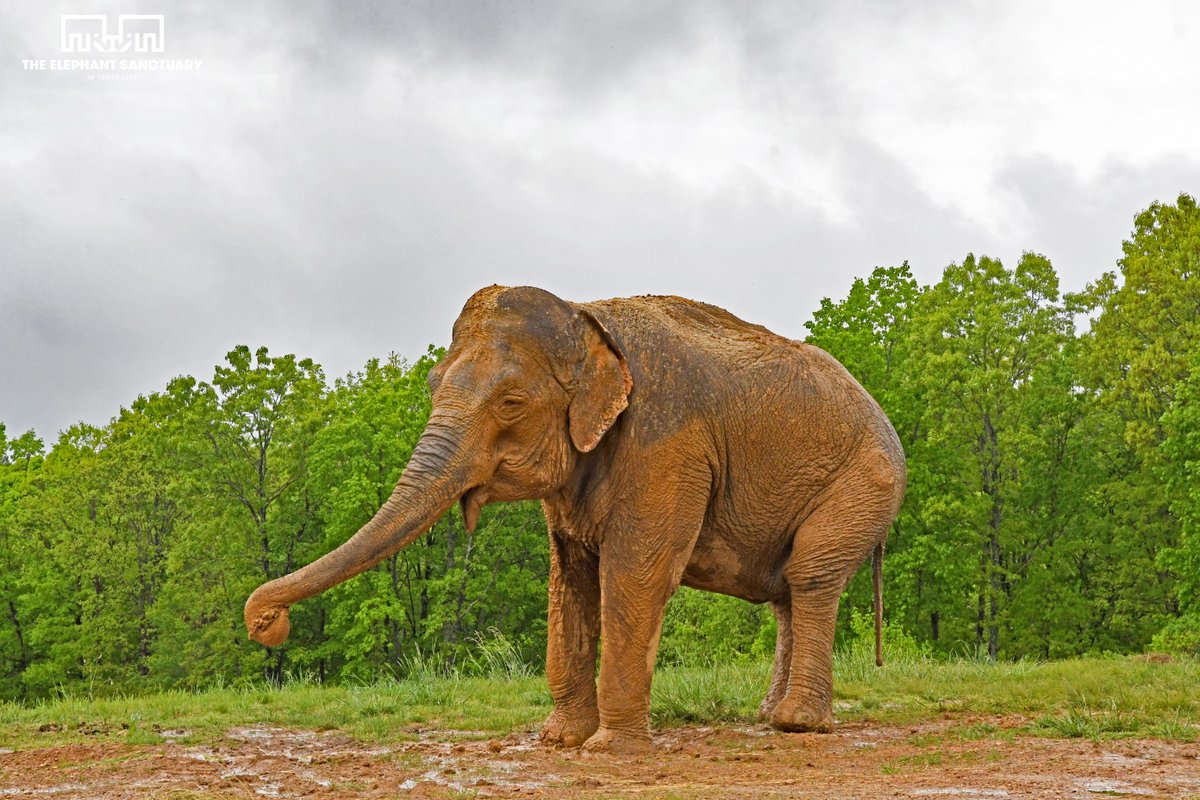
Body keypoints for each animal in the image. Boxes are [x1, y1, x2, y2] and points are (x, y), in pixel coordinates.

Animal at [244, 285, 906, 753]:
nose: (266, 623)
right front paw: (559, 739)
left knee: (810, 577)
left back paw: (797, 725)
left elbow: (637, 572)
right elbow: (570, 578)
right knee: (787, 594)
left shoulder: (667, 445)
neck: (586, 316)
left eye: (511, 402)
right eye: (433, 384)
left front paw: (608, 749)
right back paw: (771, 719)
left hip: (862, 483)